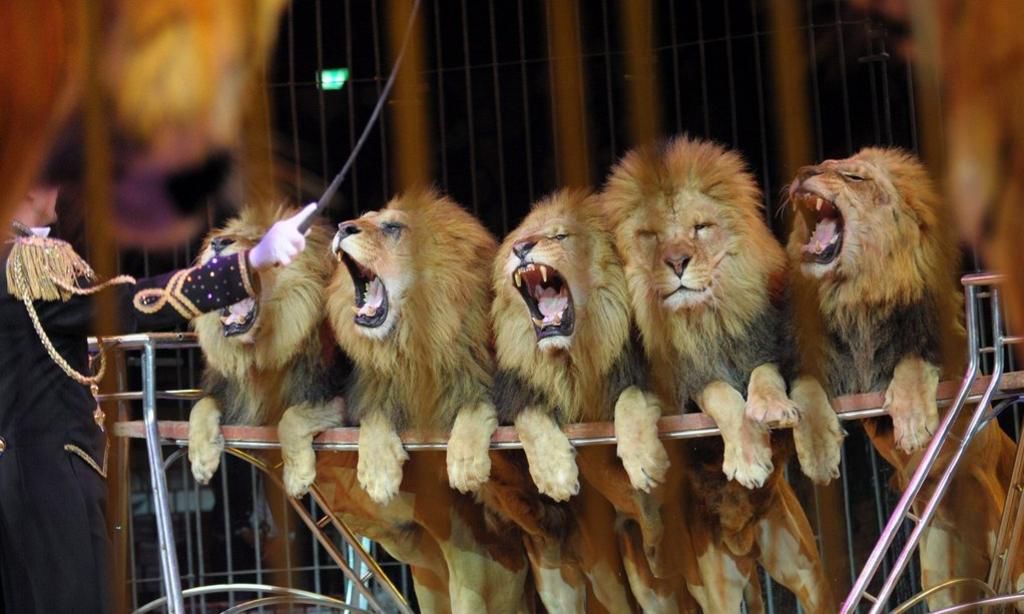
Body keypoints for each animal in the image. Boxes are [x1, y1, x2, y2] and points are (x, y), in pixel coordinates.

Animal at [186, 206, 345, 497]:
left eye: (261, 240)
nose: (217, 243)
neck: (255, 352)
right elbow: (200, 406)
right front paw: (201, 459)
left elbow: (291, 417)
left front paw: (297, 476)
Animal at [323, 190, 529, 613]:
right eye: (361, 218)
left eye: (392, 227)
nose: (342, 227)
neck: (411, 347)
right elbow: (374, 419)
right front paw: (378, 470)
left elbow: (475, 407)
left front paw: (464, 461)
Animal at [603, 135, 836, 613]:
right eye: (651, 236)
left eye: (700, 228)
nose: (676, 261)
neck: (704, 321)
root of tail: (745, 543)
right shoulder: (686, 386)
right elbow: (721, 395)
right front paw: (747, 458)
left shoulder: (762, 342)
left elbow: (766, 375)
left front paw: (773, 409)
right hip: (715, 587)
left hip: (806, 570)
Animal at [786, 147, 1021, 609]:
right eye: (819, 166)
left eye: (853, 177)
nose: (804, 172)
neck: (858, 296)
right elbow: (806, 392)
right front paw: (817, 449)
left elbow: (914, 364)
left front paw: (912, 423)